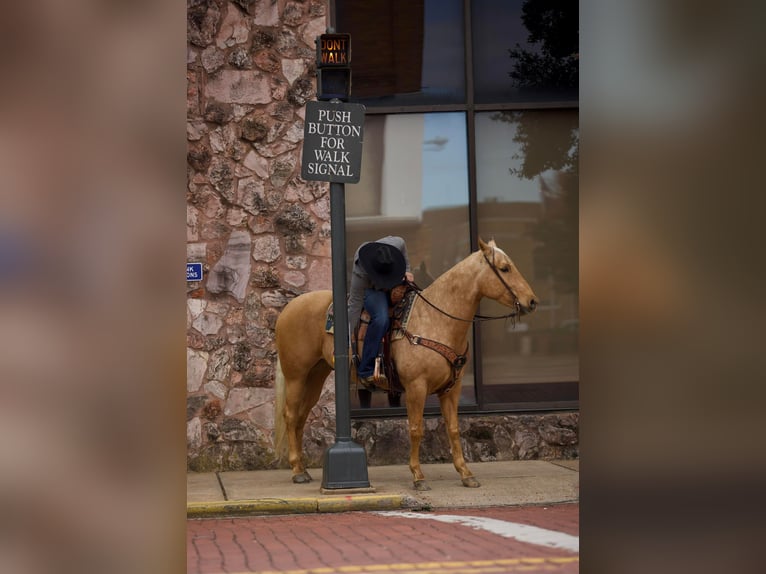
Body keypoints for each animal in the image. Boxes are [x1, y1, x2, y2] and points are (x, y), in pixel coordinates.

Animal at [276, 238, 540, 490]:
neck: (436, 319)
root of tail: (288, 308)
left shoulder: (451, 389)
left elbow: (454, 429)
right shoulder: (416, 387)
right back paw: (297, 471)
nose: (532, 301)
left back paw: (303, 468)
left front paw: (466, 474)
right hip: (296, 375)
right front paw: (418, 476)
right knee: (290, 415)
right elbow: (416, 429)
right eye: (504, 268)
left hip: (316, 375)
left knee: (301, 416)